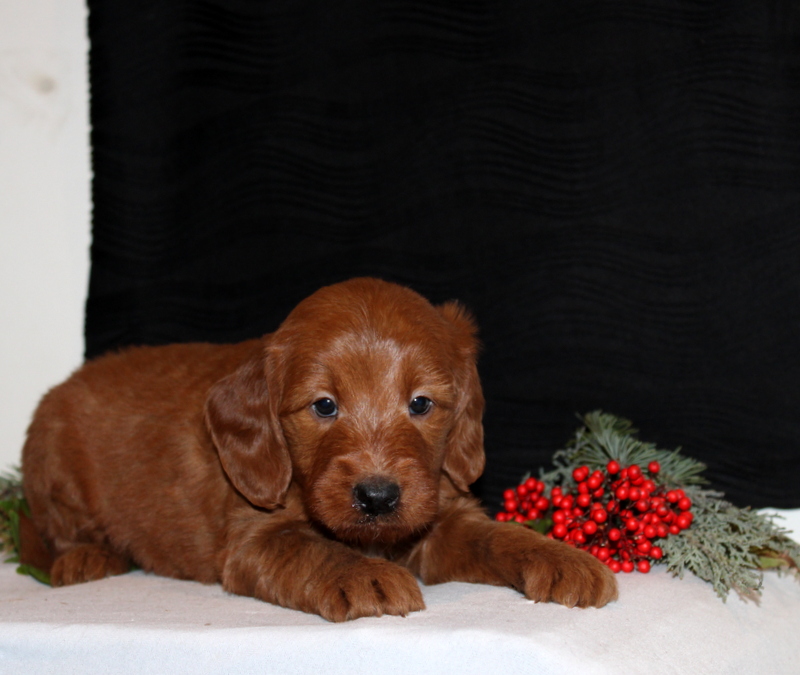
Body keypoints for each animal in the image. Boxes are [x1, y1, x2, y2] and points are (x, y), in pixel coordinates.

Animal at [21, 278, 616, 620]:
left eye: (421, 403)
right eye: (324, 406)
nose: (377, 497)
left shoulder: (439, 516)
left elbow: (496, 535)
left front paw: (561, 557)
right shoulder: (254, 537)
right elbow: (311, 548)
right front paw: (364, 576)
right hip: (51, 465)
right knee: (56, 531)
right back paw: (86, 558)